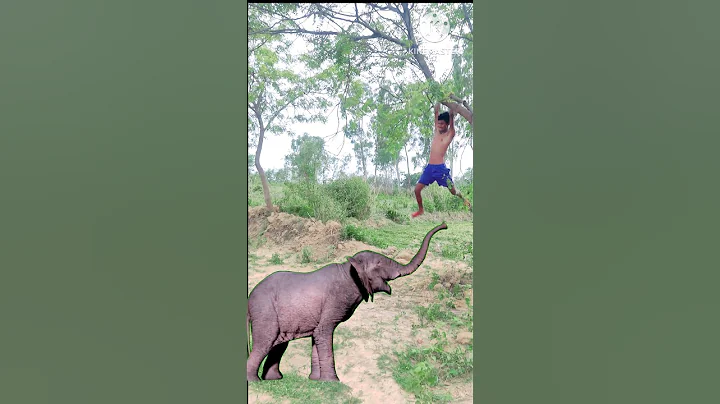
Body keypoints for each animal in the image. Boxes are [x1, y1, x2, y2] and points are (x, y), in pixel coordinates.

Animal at [246, 222, 448, 382]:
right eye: (380, 264)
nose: (444, 226)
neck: (348, 268)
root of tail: (249, 299)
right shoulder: (333, 302)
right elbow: (323, 332)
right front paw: (333, 382)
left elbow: (317, 337)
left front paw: (316, 381)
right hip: (265, 313)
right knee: (265, 341)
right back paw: (255, 382)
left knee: (278, 345)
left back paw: (274, 379)